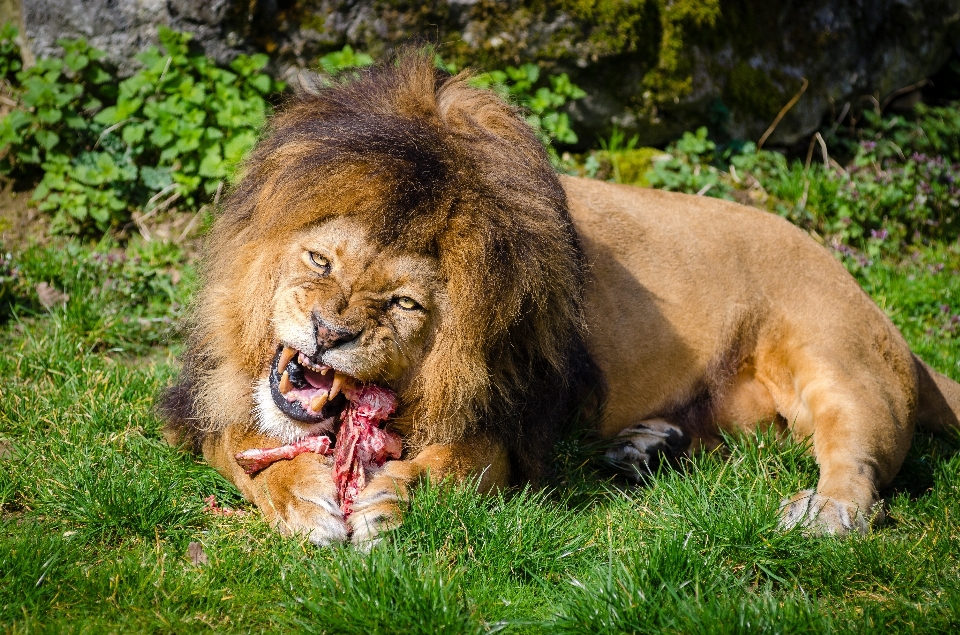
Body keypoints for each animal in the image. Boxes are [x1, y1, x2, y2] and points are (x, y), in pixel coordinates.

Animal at [163, 53, 960, 548]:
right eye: (320, 260)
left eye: (403, 305)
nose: (328, 333)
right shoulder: (204, 400)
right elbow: (244, 450)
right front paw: (303, 498)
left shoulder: (509, 427)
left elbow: (451, 465)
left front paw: (393, 498)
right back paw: (644, 447)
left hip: (837, 360)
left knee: (858, 461)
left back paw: (823, 511)